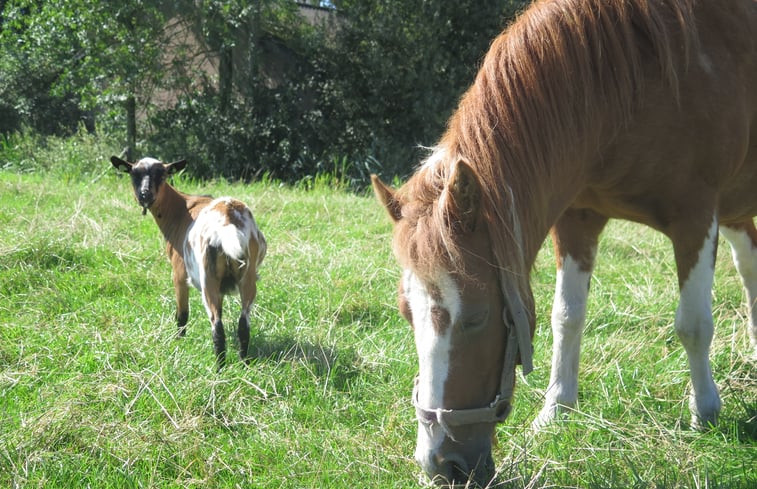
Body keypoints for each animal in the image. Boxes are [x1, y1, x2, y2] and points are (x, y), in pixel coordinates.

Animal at [110, 154, 266, 368]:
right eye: (134, 174)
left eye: (162, 175)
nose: (144, 195)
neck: (181, 210)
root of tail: (228, 218)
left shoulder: (179, 273)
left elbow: (182, 314)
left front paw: (178, 342)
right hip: (247, 277)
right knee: (243, 325)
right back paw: (243, 363)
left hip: (208, 277)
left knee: (217, 328)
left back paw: (219, 369)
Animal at [370, 0, 752, 482]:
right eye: (406, 313)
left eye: (475, 318)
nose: (441, 466)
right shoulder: (576, 220)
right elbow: (566, 317)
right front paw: (555, 410)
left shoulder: (696, 217)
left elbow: (694, 324)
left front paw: (705, 412)